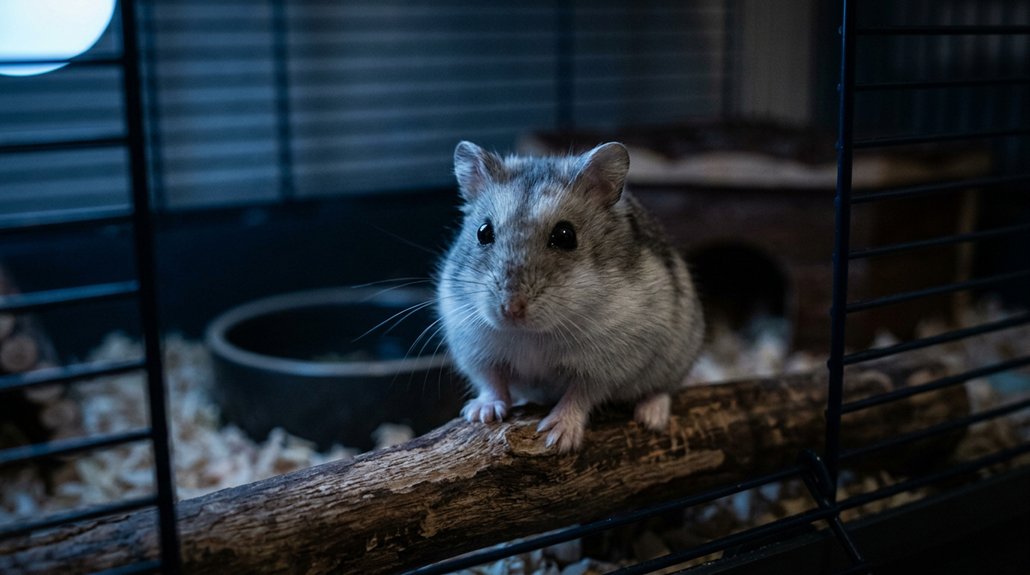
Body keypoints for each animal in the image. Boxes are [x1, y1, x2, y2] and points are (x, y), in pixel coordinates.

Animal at [437, 141, 705, 452]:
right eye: (483, 232)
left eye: (565, 235)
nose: (511, 309)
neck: (532, 334)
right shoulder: (476, 350)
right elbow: (492, 382)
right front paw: (481, 413)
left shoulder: (605, 364)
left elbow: (579, 395)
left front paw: (557, 437)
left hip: (678, 355)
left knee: (663, 389)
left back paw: (651, 417)